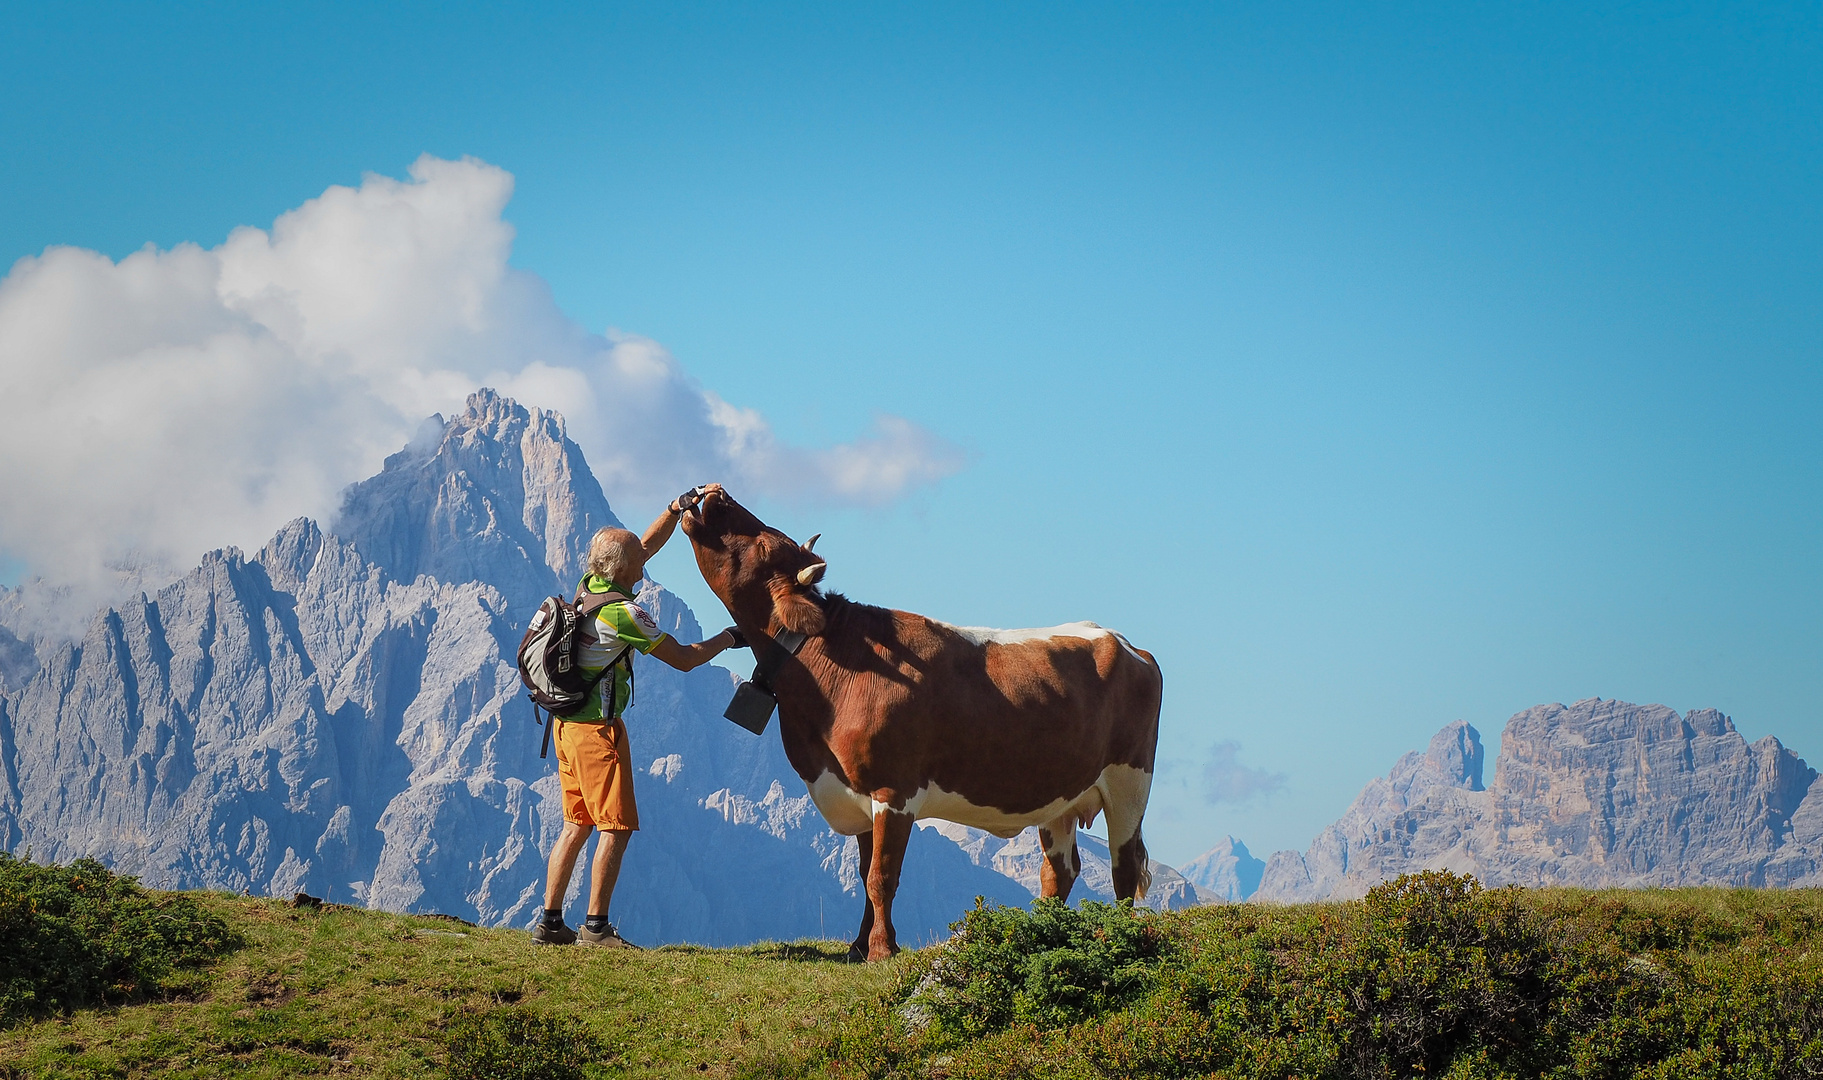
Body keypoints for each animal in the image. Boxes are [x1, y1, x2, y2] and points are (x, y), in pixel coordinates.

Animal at [678, 488, 1159, 963]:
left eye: (763, 546)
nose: (716, 494)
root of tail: (1124, 643)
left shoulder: (893, 791)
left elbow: (882, 876)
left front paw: (881, 949)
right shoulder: (857, 791)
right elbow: (864, 873)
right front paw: (858, 946)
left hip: (1129, 784)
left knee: (1123, 867)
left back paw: (1115, 936)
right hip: (1060, 798)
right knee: (1059, 872)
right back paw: (1045, 932)